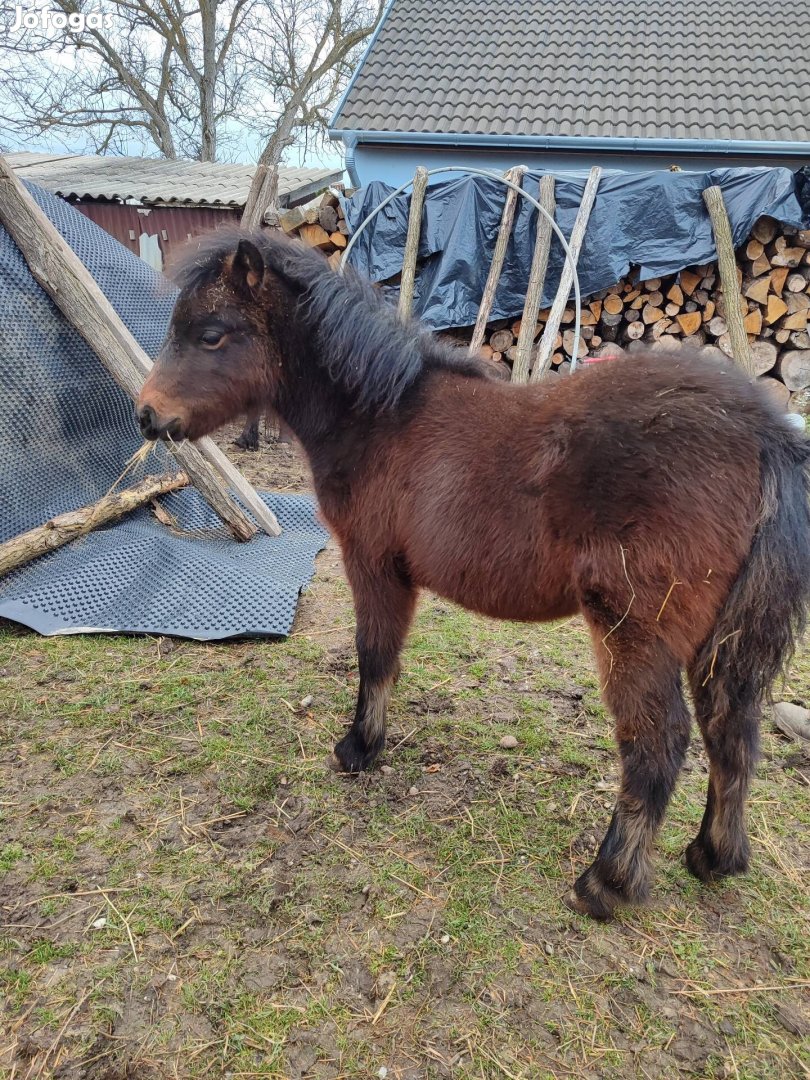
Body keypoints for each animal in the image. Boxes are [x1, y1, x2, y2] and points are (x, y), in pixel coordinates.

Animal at [136, 234, 807, 920]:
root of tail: (765, 433)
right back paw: (713, 857)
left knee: (657, 743)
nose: (147, 415)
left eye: (212, 334)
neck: (381, 415)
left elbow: (374, 654)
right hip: (719, 638)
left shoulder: (372, 561)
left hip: (634, 630)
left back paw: (606, 882)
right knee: (731, 728)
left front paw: (358, 750)